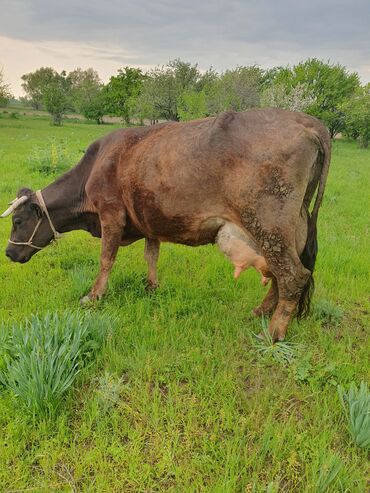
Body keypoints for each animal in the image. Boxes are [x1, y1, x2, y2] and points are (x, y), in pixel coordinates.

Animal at [0, 108, 330, 340]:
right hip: (291, 226)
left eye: (17, 220)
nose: (9, 253)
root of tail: (311, 122)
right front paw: (151, 286)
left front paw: (94, 296)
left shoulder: (111, 213)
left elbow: (106, 259)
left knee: (293, 275)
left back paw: (272, 332)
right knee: (282, 273)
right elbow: (151, 255)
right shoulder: (148, 220)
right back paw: (260, 312)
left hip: (269, 223)